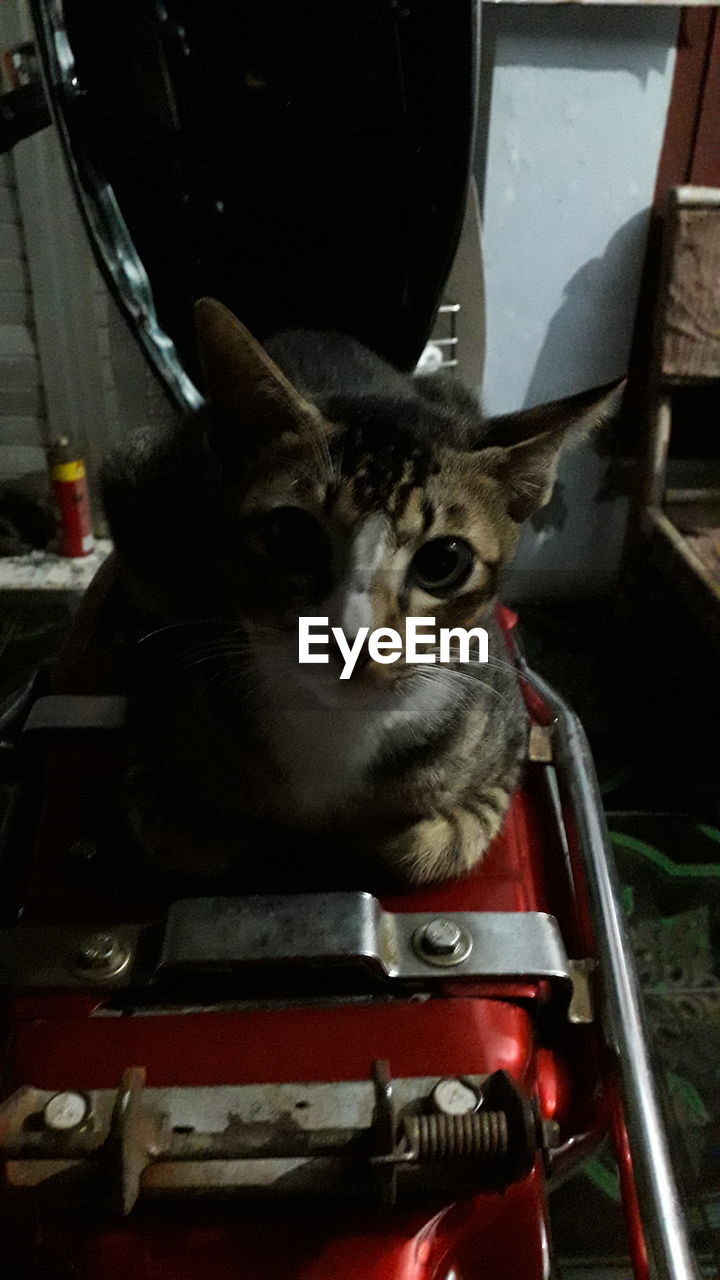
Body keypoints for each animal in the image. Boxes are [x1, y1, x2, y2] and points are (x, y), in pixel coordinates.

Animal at [102, 302, 622, 890]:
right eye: (293, 537)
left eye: (443, 561)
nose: (353, 638)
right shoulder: (155, 703)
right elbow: (182, 835)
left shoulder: (507, 730)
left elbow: (438, 839)